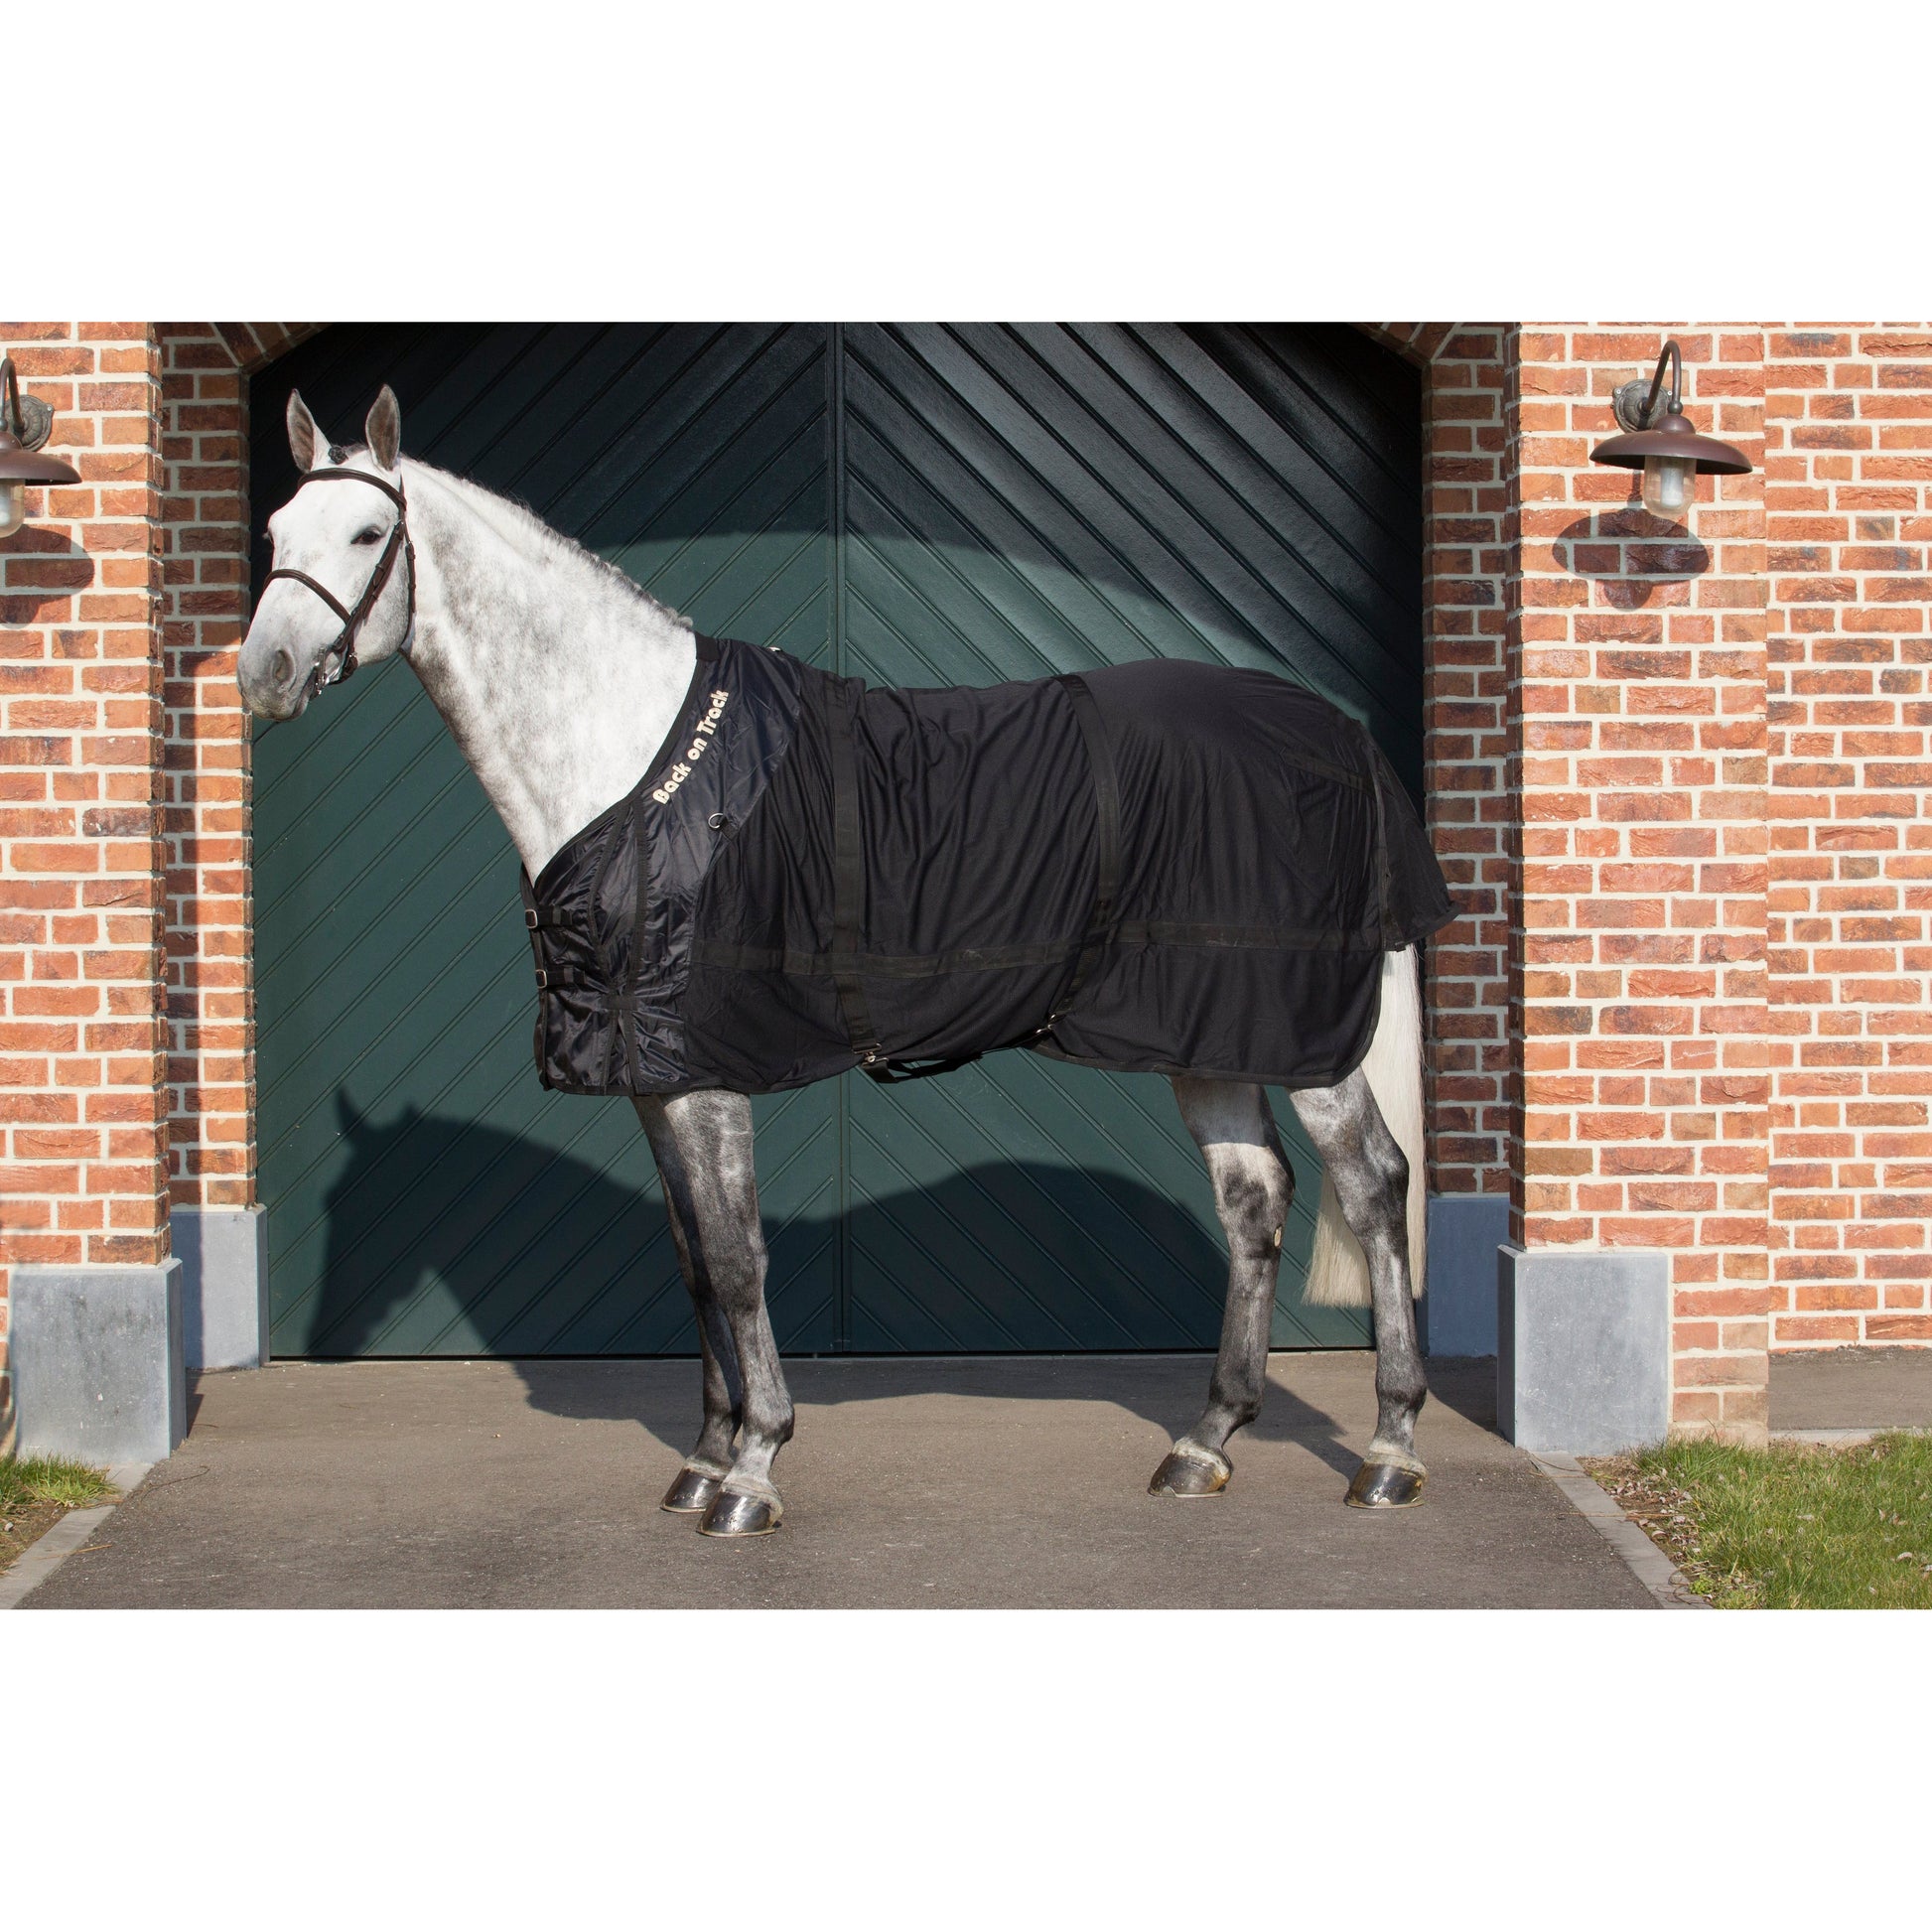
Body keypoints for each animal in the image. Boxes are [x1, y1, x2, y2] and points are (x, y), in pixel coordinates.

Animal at [236, 383, 1442, 1539]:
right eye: (275, 529)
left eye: (367, 532)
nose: (264, 675)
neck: (637, 766)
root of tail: (1339, 736)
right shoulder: (655, 1077)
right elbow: (691, 1262)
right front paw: (701, 1456)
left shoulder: (710, 1073)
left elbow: (736, 1261)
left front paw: (753, 1467)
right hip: (1212, 1033)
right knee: (1254, 1197)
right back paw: (1206, 1440)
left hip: (1308, 1039)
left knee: (1374, 1184)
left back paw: (1389, 1447)